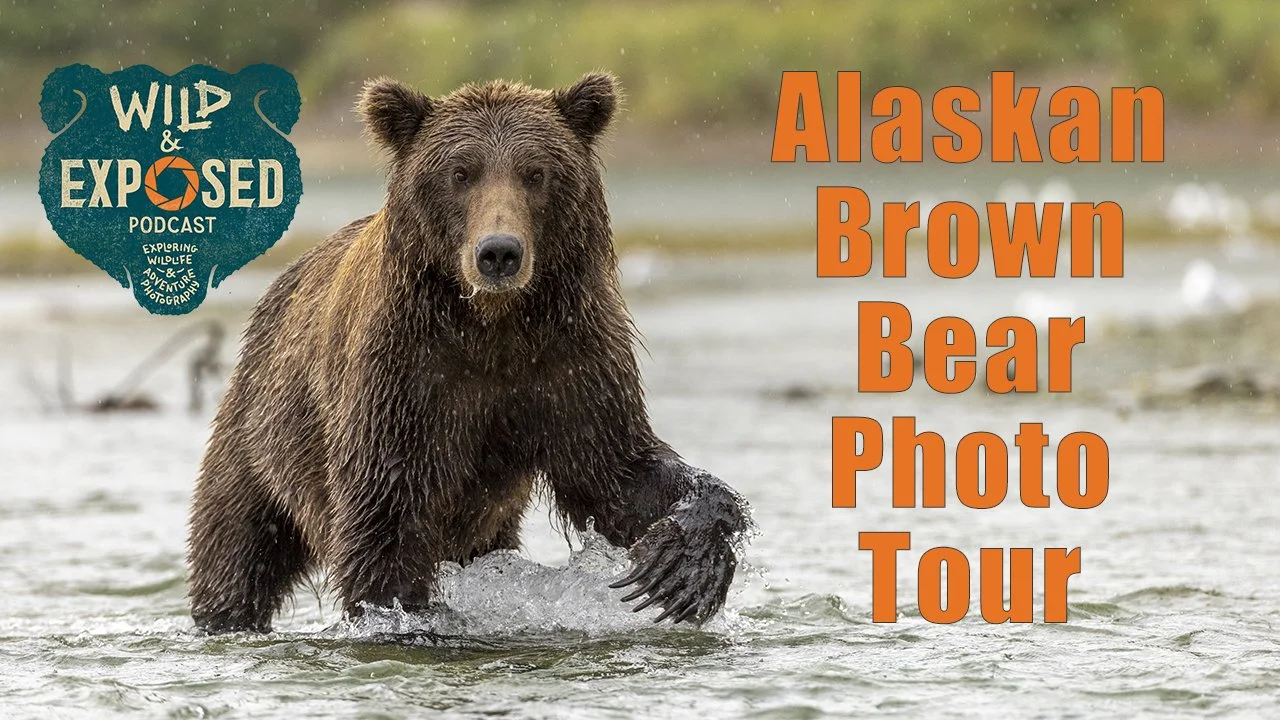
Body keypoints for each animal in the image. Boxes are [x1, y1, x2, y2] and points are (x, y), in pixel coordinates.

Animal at [186, 72, 751, 634]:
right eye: (460, 173)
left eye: (535, 172)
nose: (499, 252)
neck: (493, 326)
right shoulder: (406, 372)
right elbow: (385, 511)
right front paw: (404, 613)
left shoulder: (572, 359)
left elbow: (615, 471)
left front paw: (685, 563)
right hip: (262, 435)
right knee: (238, 545)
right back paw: (227, 612)